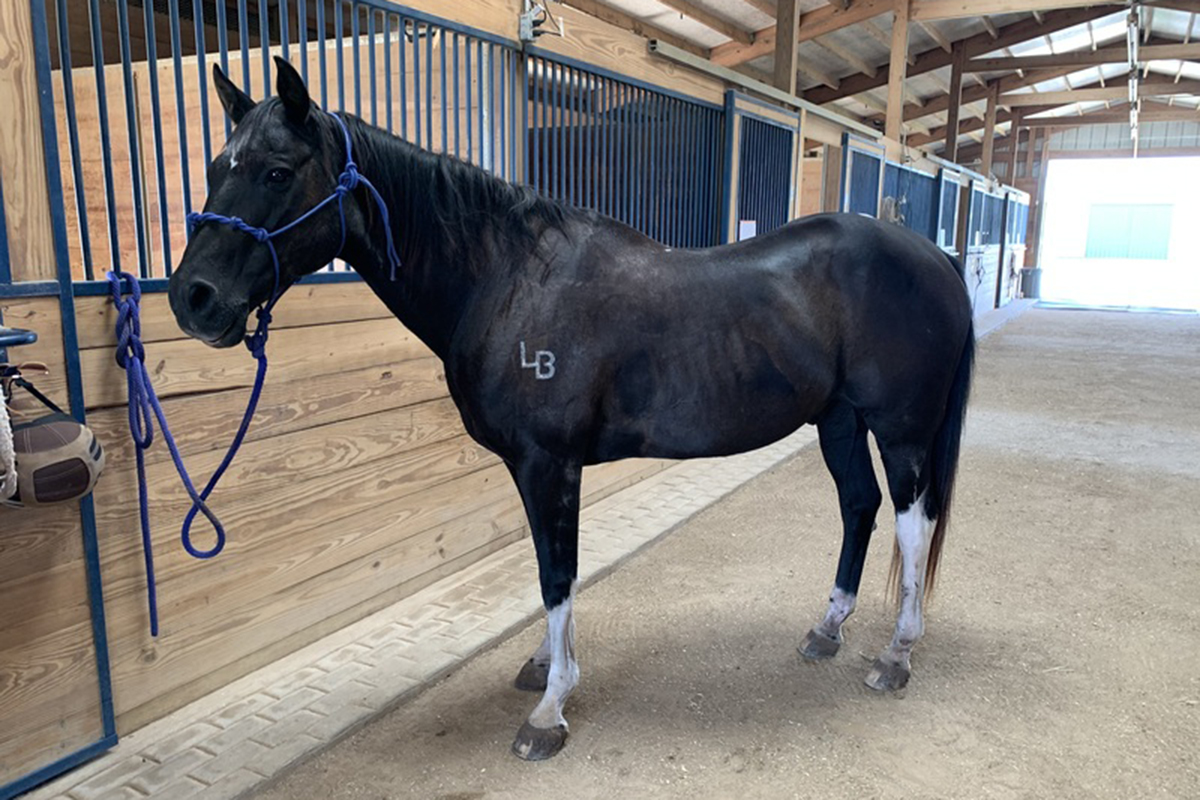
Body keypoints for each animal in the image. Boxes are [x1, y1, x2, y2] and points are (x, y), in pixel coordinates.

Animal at [169, 58, 974, 761]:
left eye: (276, 171)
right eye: (213, 168)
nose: (192, 299)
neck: (506, 280)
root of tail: (935, 257)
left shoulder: (548, 463)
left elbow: (556, 576)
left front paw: (550, 710)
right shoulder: (539, 470)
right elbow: (548, 570)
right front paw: (544, 668)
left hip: (901, 432)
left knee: (913, 524)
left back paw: (896, 655)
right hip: (838, 420)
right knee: (859, 506)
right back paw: (826, 630)